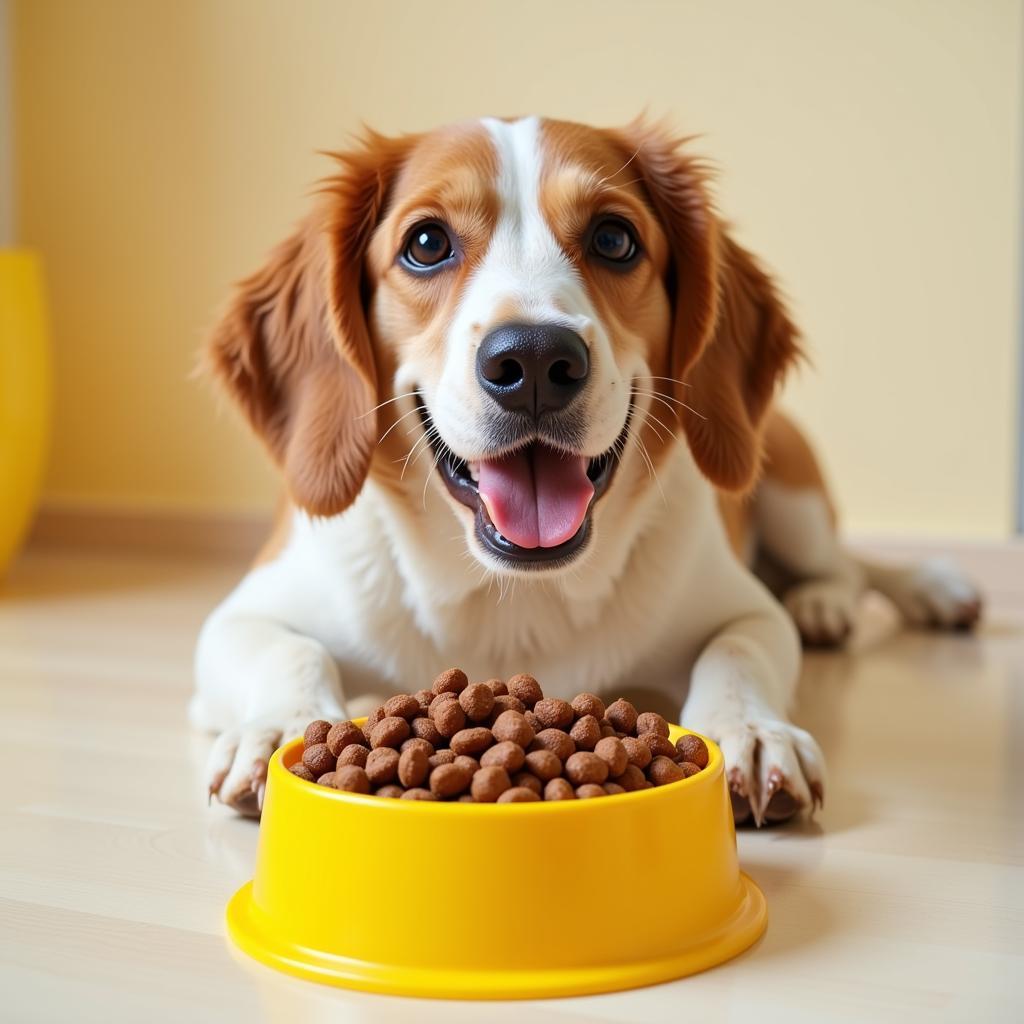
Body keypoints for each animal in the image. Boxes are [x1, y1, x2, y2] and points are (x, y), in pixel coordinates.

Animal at [193, 117, 983, 823]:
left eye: (613, 238)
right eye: (425, 243)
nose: (535, 359)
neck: (515, 600)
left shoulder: (746, 609)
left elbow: (735, 653)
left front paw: (751, 733)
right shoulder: (242, 615)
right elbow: (292, 653)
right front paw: (278, 731)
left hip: (793, 495)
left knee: (848, 564)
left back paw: (869, 596)